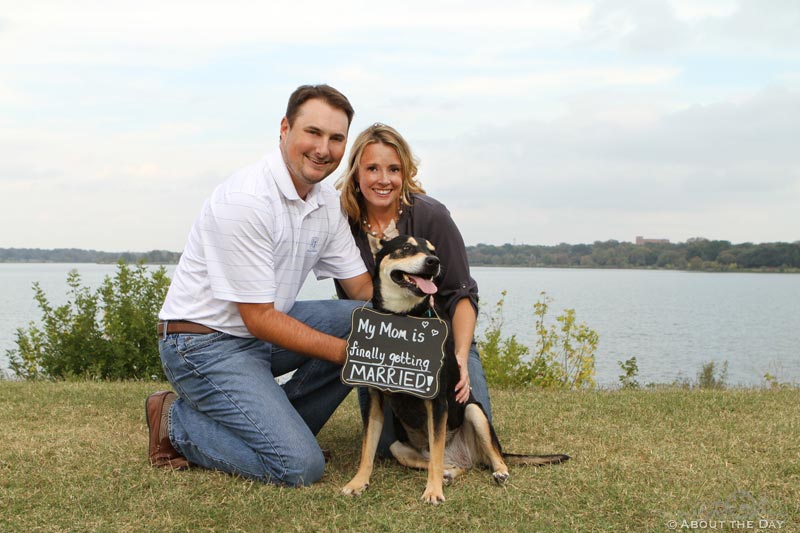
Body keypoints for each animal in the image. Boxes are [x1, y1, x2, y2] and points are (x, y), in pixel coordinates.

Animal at [342, 236, 568, 502]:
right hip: (398, 447)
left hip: (474, 411)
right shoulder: (374, 398)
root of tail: (464, 456)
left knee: (487, 457)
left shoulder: (438, 401)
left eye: (433, 250)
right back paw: (449, 473)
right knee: (447, 464)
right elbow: (367, 448)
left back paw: (497, 472)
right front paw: (358, 482)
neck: (402, 319)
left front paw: (433, 491)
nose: (434, 262)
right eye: (406, 247)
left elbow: (436, 455)